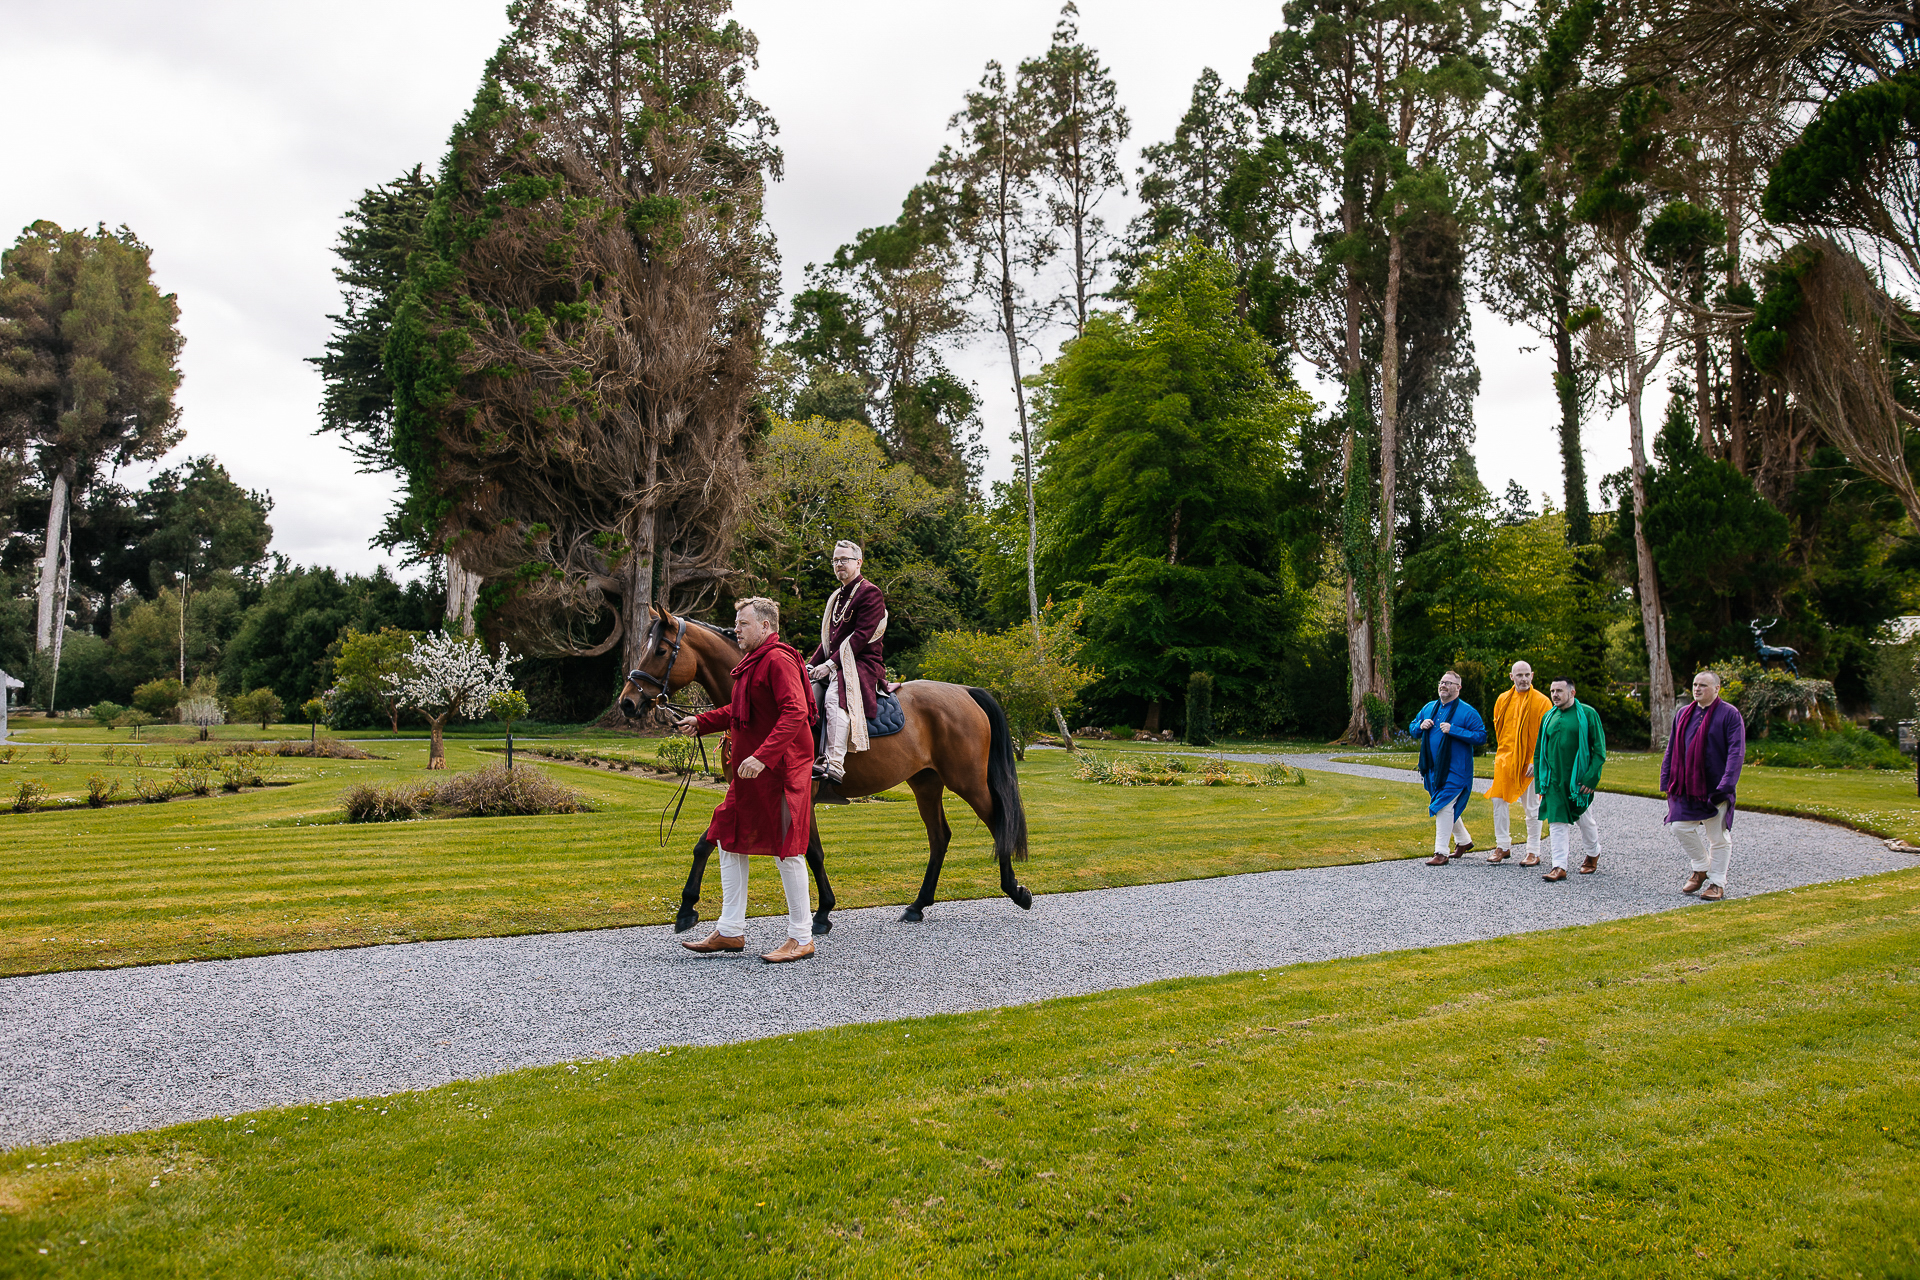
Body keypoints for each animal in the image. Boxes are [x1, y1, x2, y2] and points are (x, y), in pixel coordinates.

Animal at [622, 606, 1029, 936]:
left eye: (660, 650)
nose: (627, 702)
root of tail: (964, 690)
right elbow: (708, 841)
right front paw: (687, 907)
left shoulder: (800, 793)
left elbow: (811, 853)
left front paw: (821, 914)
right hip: (926, 782)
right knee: (940, 836)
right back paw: (918, 905)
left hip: (967, 781)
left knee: (997, 820)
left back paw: (1015, 889)